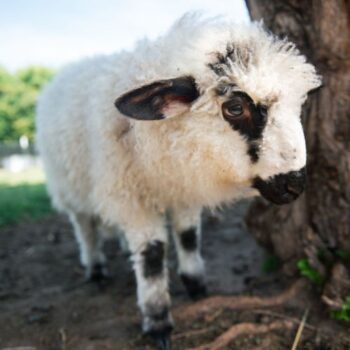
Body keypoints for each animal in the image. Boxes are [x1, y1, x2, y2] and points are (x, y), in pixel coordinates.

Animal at [37, 13, 322, 350]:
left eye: (298, 104)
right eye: (235, 108)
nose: (294, 185)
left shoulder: (184, 189)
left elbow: (188, 237)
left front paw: (196, 286)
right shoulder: (130, 197)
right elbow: (151, 255)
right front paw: (157, 320)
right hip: (69, 184)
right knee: (84, 226)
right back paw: (95, 268)